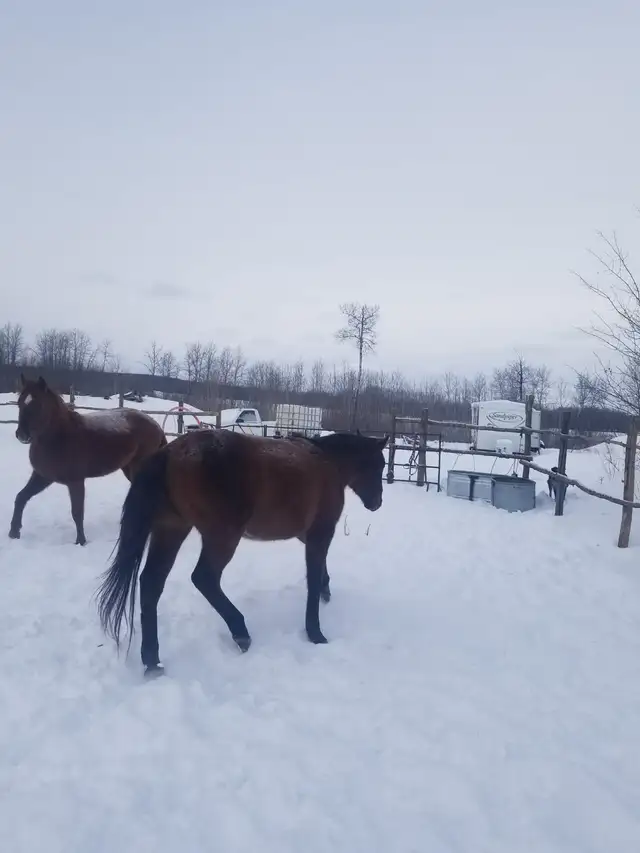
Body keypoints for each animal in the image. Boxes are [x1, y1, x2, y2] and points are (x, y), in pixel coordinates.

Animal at [9, 375, 167, 545]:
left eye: (39, 404)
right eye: (20, 402)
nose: (22, 435)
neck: (60, 437)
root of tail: (156, 425)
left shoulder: (76, 481)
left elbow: (77, 512)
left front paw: (81, 541)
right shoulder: (42, 476)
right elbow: (21, 497)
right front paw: (14, 532)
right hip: (128, 468)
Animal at [96, 428, 388, 677]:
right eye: (380, 465)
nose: (377, 502)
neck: (328, 462)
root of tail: (170, 451)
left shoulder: (308, 535)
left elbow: (322, 569)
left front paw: (326, 592)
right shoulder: (320, 532)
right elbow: (313, 579)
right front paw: (315, 632)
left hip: (172, 529)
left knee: (151, 583)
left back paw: (152, 661)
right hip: (222, 537)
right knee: (204, 578)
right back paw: (241, 633)